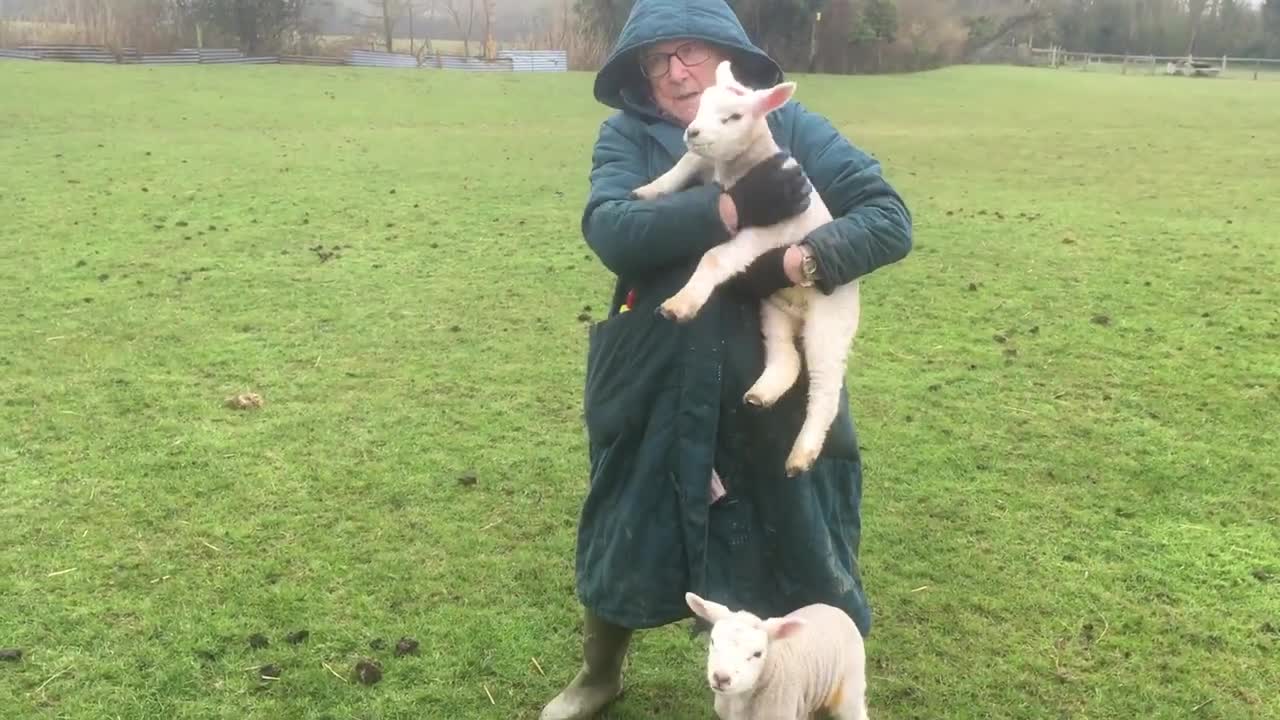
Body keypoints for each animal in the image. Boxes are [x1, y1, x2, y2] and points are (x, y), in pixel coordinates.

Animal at [629, 60, 860, 476]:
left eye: (734, 117)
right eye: (701, 105)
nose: (692, 131)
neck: (741, 168)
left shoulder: (762, 231)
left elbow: (715, 258)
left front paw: (681, 304)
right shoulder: (710, 167)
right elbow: (687, 161)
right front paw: (649, 190)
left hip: (830, 323)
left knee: (825, 388)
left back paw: (801, 455)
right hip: (774, 310)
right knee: (787, 359)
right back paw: (760, 395)